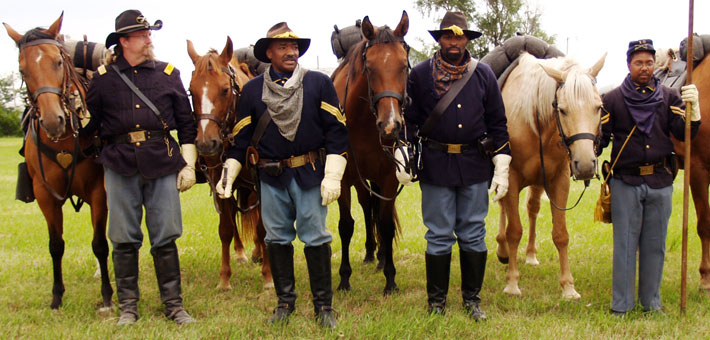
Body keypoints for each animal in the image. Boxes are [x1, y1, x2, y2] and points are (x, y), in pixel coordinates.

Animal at [3, 13, 112, 308]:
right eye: (22, 70)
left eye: (59, 61)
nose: (53, 121)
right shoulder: (45, 195)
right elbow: (56, 245)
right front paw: (57, 296)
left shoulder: (99, 192)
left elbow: (99, 244)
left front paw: (107, 295)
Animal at [186, 36, 272, 290]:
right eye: (191, 90)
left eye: (225, 90)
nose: (206, 143)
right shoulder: (219, 180)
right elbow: (225, 228)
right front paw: (224, 278)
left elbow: (263, 227)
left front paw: (268, 276)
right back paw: (244, 252)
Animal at [330, 9, 408, 292]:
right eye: (370, 68)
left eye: (404, 65)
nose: (391, 125)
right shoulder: (343, 179)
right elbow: (345, 226)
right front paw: (344, 278)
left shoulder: (387, 177)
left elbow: (385, 224)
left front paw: (391, 278)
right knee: (366, 207)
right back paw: (370, 253)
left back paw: (381, 256)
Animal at [498, 51, 608, 298]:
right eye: (563, 109)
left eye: (598, 107)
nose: (585, 165)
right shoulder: (510, 177)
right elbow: (514, 231)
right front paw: (512, 283)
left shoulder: (559, 180)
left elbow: (560, 234)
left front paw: (568, 286)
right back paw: (502, 249)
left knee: (532, 209)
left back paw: (530, 254)